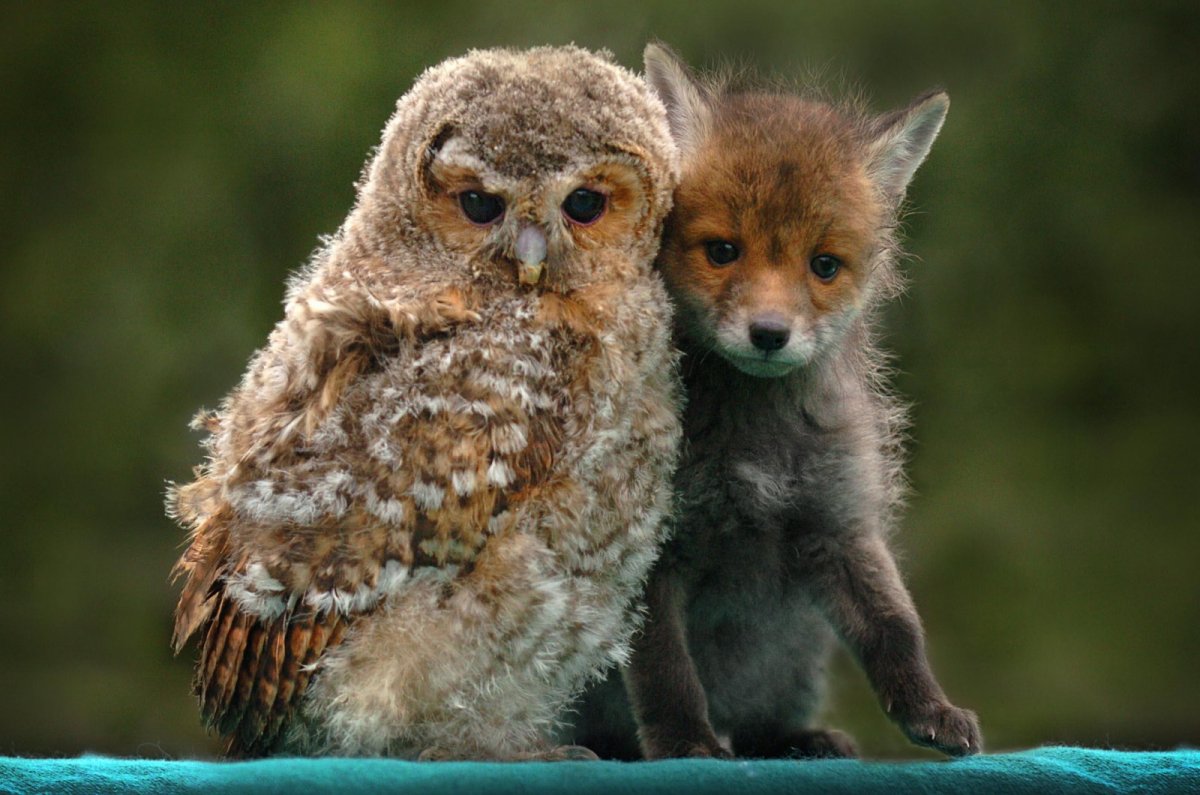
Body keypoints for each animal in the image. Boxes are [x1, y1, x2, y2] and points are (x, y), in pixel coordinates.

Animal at [567, 44, 982, 760]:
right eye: (722, 251)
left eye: (824, 266)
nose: (768, 334)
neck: (751, 443)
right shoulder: (647, 554)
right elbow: (664, 665)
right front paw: (686, 743)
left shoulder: (840, 525)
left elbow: (896, 629)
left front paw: (931, 708)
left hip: (795, 652)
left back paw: (793, 739)